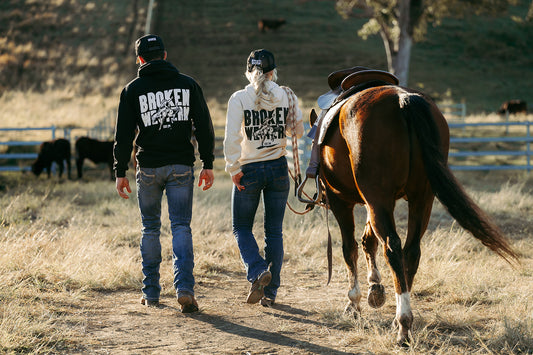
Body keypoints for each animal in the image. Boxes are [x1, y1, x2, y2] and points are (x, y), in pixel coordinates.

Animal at [312, 85, 516, 348]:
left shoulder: (343, 201)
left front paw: (354, 303)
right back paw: (400, 319)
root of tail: (402, 99)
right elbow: (368, 241)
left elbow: (350, 249)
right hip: (422, 198)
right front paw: (375, 289)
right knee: (411, 251)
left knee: (392, 247)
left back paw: (403, 325)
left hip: (379, 198)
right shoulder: (375, 203)